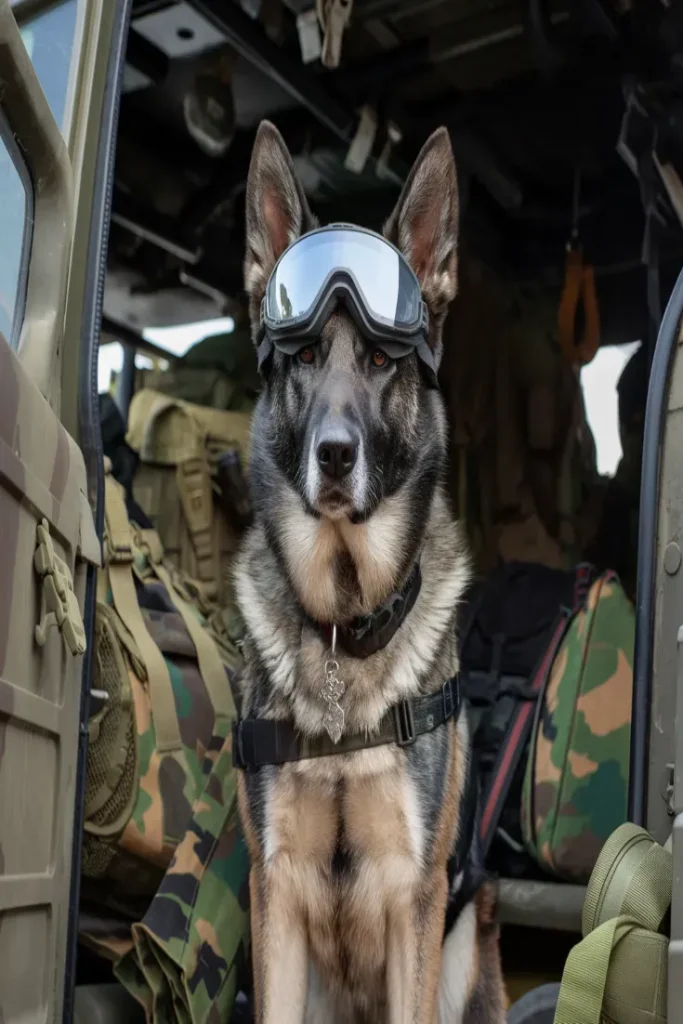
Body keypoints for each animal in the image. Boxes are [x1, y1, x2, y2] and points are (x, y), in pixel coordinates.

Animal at [235, 121, 507, 1024]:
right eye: (306, 356)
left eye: (385, 364)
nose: (333, 455)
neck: (343, 625)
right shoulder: (275, 896)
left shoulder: (412, 902)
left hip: (463, 945)